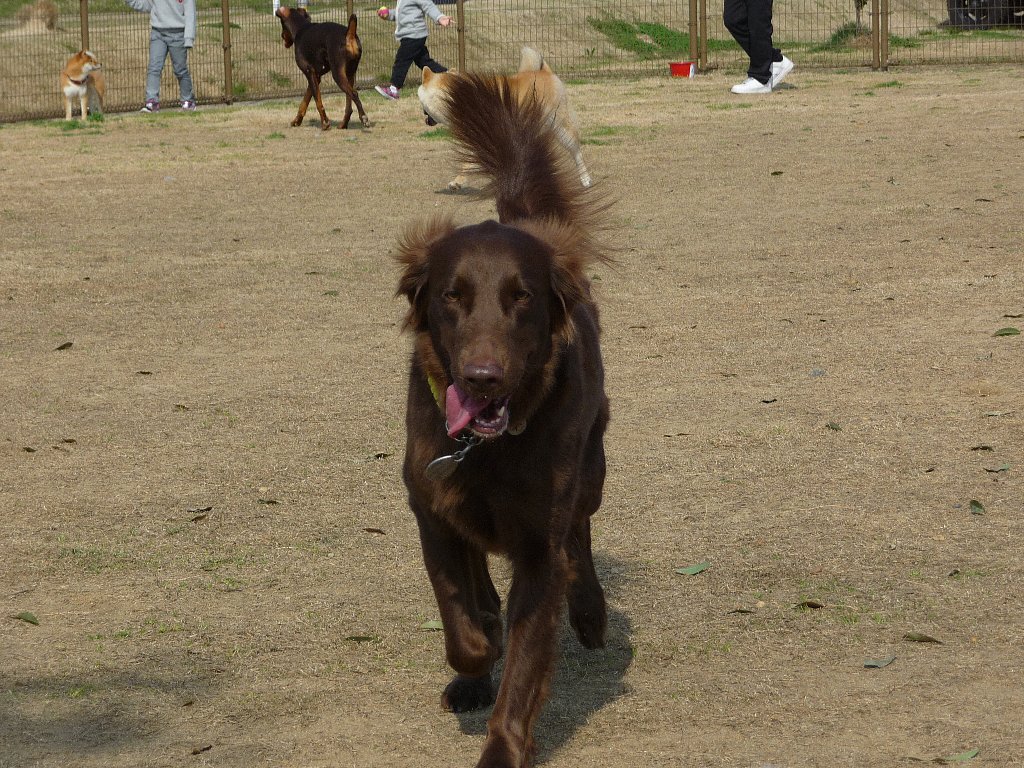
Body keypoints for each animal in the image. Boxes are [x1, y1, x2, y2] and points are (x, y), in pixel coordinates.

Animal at [395, 74, 612, 768]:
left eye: (521, 298)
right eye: (451, 296)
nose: (483, 378)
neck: (485, 450)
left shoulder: (540, 548)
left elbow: (522, 665)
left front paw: (503, 747)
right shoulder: (433, 512)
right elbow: (463, 620)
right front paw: (475, 660)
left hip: (591, 468)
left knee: (582, 536)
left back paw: (591, 614)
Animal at [417, 47, 592, 192]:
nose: (425, 118)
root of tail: (546, 72)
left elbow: (468, 164)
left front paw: (458, 182)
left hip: (562, 127)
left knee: (576, 153)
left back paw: (585, 179)